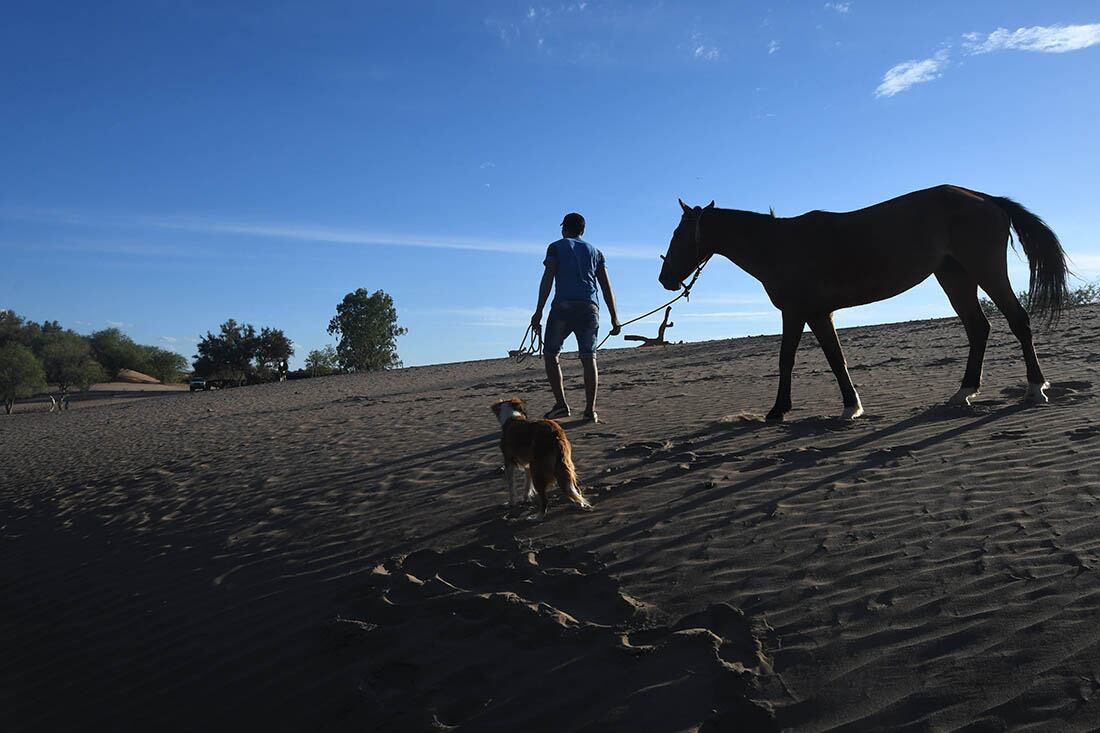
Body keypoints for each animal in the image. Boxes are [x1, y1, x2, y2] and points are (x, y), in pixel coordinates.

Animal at [655, 186, 1069, 420]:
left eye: (678, 234)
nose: (665, 279)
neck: (778, 246)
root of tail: (987, 199)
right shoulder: (809, 313)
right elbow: (814, 358)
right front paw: (823, 407)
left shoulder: (802, 312)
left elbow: (810, 359)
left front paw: (803, 410)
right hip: (954, 275)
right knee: (978, 328)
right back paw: (964, 392)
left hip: (985, 270)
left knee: (1018, 321)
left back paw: (1035, 388)